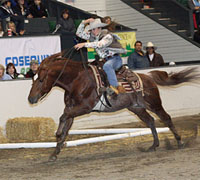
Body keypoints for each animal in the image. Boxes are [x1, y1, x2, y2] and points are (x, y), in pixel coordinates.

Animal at [28, 51, 198, 162]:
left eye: (41, 80)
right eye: (33, 79)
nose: (31, 98)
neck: (77, 80)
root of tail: (148, 77)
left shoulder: (84, 107)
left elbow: (62, 118)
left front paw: (56, 134)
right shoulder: (72, 110)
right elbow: (65, 128)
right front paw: (54, 153)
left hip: (154, 103)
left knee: (166, 118)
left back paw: (179, 142)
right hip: (136, 107)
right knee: (150, 120)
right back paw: (154, 145)